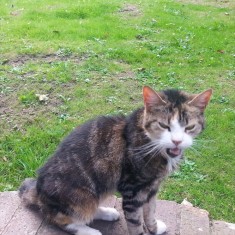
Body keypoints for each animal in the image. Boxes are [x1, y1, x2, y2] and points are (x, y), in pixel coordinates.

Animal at [19, 86, 212, 235]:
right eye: (164, 125)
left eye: (189, 127)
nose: (177, 141)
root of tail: (38, 191)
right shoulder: (132, 191)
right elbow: (135, 223)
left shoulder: (152, 187)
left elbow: (150, 211)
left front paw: (154, 228)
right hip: (82, 197)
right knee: (60, 218)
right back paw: (90, 231)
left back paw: (107, 213)